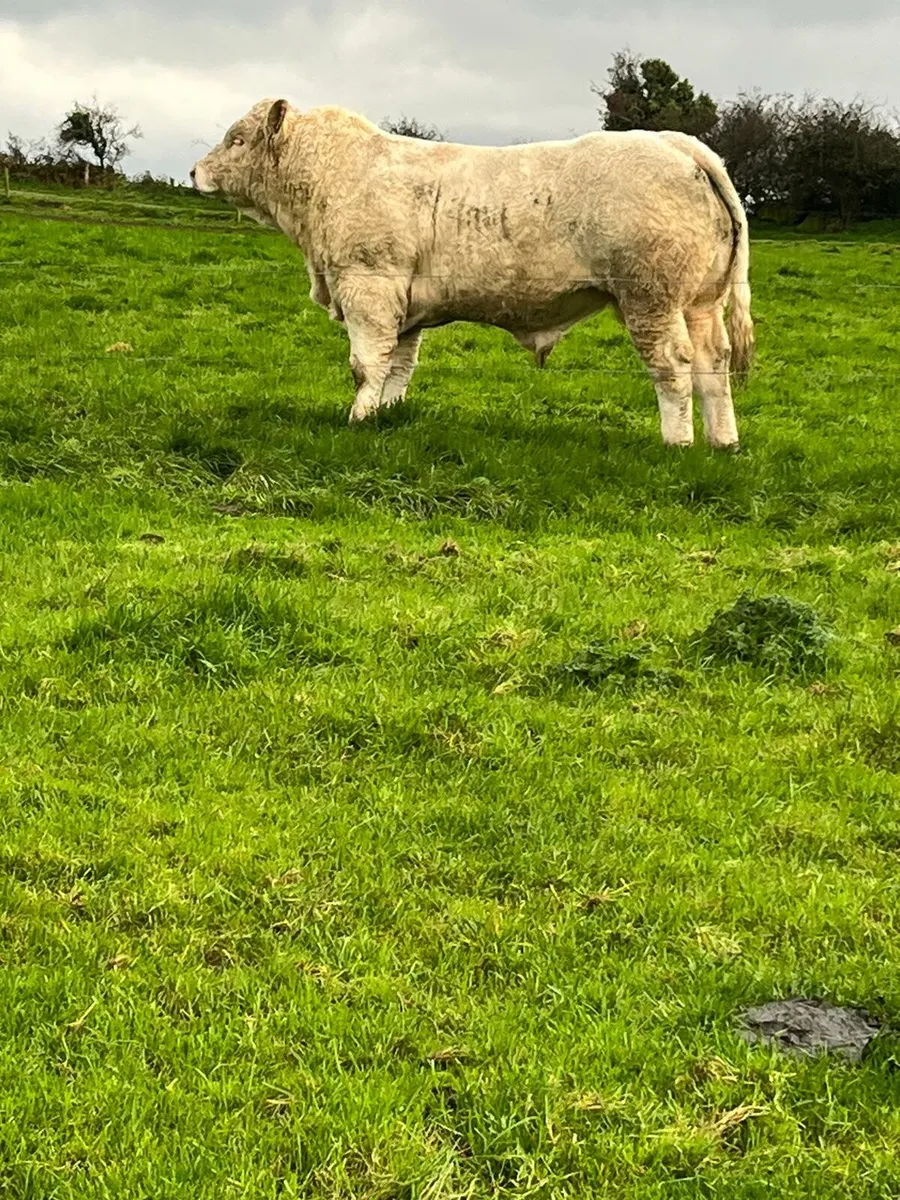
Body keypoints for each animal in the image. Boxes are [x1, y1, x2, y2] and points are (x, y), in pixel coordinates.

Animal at [191, 100, 753, 449]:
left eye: (236, 139)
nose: (194, 171)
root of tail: (678, 144)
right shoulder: (403, 305)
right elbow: (399, 367)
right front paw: (385, 417)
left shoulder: (367, 285)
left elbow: (366, 364)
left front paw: (356, 419)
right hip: (700, 301)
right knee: (714, 363)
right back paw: (722, 442)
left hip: (649, 297)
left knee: (673, 364)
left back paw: (677, 442)